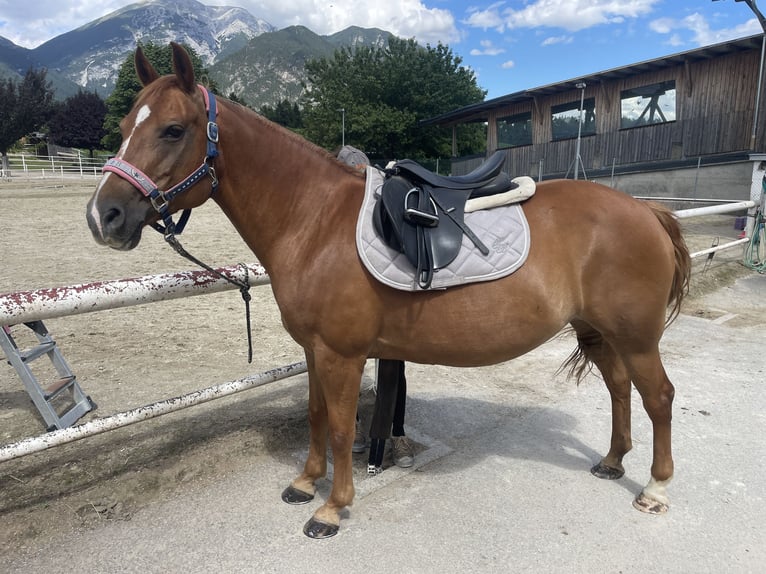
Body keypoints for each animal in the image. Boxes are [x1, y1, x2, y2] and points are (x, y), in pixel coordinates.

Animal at [86, 43, 691, 539]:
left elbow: (337, 425)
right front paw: (305, 483)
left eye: (172, 129)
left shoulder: (343, 354)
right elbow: (314, 415)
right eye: (125, 123)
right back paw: (612, 460)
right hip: (597, 332)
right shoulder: (315, 350)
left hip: (636, 337)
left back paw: (655, 489)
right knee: (618, 389)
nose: (103, 216)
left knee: (658, 397)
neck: (315, 221)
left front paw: (332, 508)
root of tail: (647, 211)